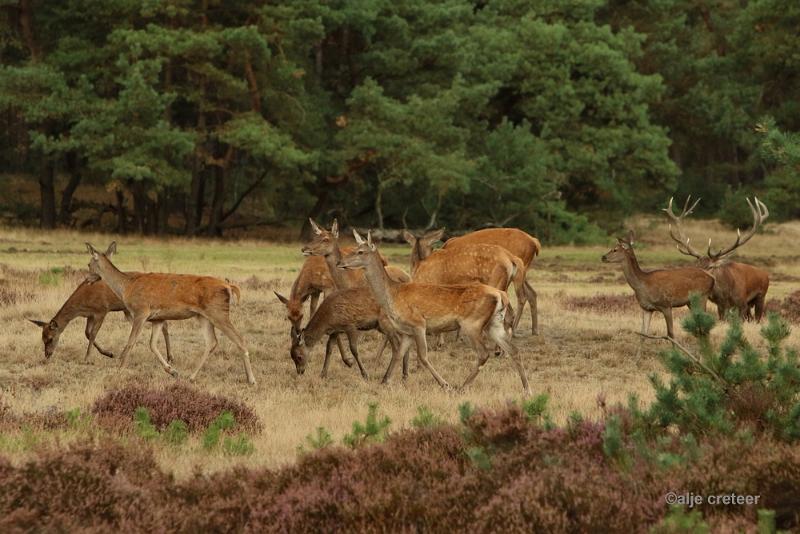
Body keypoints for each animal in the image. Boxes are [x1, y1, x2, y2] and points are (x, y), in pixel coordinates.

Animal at [28, 274, 171, 362]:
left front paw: (87, 358)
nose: (47, 355)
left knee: (164, 323)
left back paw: (170, 356)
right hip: (130, 311)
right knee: (162, 323)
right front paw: (109, 353)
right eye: (42, 338)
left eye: (50, 338)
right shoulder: (90, 314)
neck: (82, 304)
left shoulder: (102, 310)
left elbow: (93, 334)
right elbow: (87, 333)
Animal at [85, 242, 255, 386]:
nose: (87, 279)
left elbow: (131, 341)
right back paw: (191, 376)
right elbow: (152, 344)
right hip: (203, 316)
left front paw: (119, 370)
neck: (127, 286)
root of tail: (228, 286)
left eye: (88, 264)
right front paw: (172, 371)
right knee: (212, 342)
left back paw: (251, 380)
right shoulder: (158, 318)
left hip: (219, 312)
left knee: (240, 339)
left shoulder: (141, 311)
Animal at [338, 228, 532, 396]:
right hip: (494, 323)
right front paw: (384, 381)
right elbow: (398, 354)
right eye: (354, 249)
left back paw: (462, 386)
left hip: (472, 324)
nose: (340, 263)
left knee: (484, 353)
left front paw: (445, 384)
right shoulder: (407, 331)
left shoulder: (418, 323)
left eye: (360, 252)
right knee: (514, 350)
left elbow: (423, 356)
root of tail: (501, 295)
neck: (392, 295)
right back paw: (527, 389)